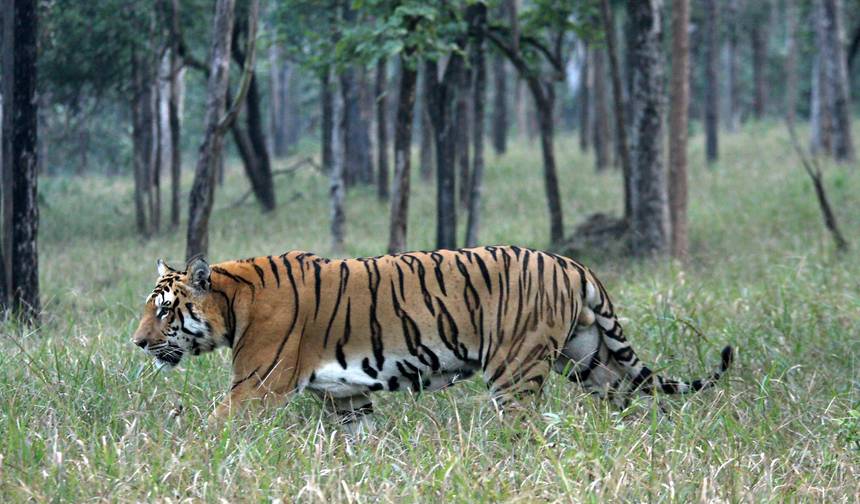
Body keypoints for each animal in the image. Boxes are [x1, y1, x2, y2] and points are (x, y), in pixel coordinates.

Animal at [132, 246, 733, 430]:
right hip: (591, 361)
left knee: (522, 430)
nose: (136, 343)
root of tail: (573, 263)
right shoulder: (348, 397)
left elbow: (208, 431)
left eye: (164, 312)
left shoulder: (255, 387)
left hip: (516, 371)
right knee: (626, 402)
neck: (234, 302)